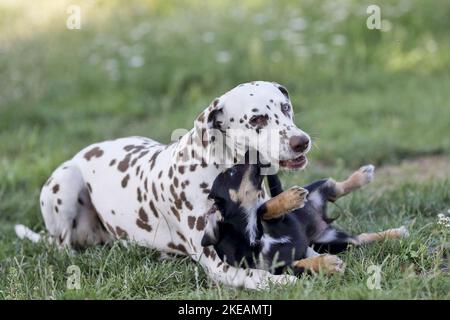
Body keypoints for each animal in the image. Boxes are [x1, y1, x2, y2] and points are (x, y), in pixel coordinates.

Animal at [14, 80, 324, 290]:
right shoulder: (219, 263)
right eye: (257, 118)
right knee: (62, 245)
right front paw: (284, 281)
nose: (302, 141)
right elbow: (257, 275)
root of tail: (83, 152)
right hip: (65, 184)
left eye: (285, 107)